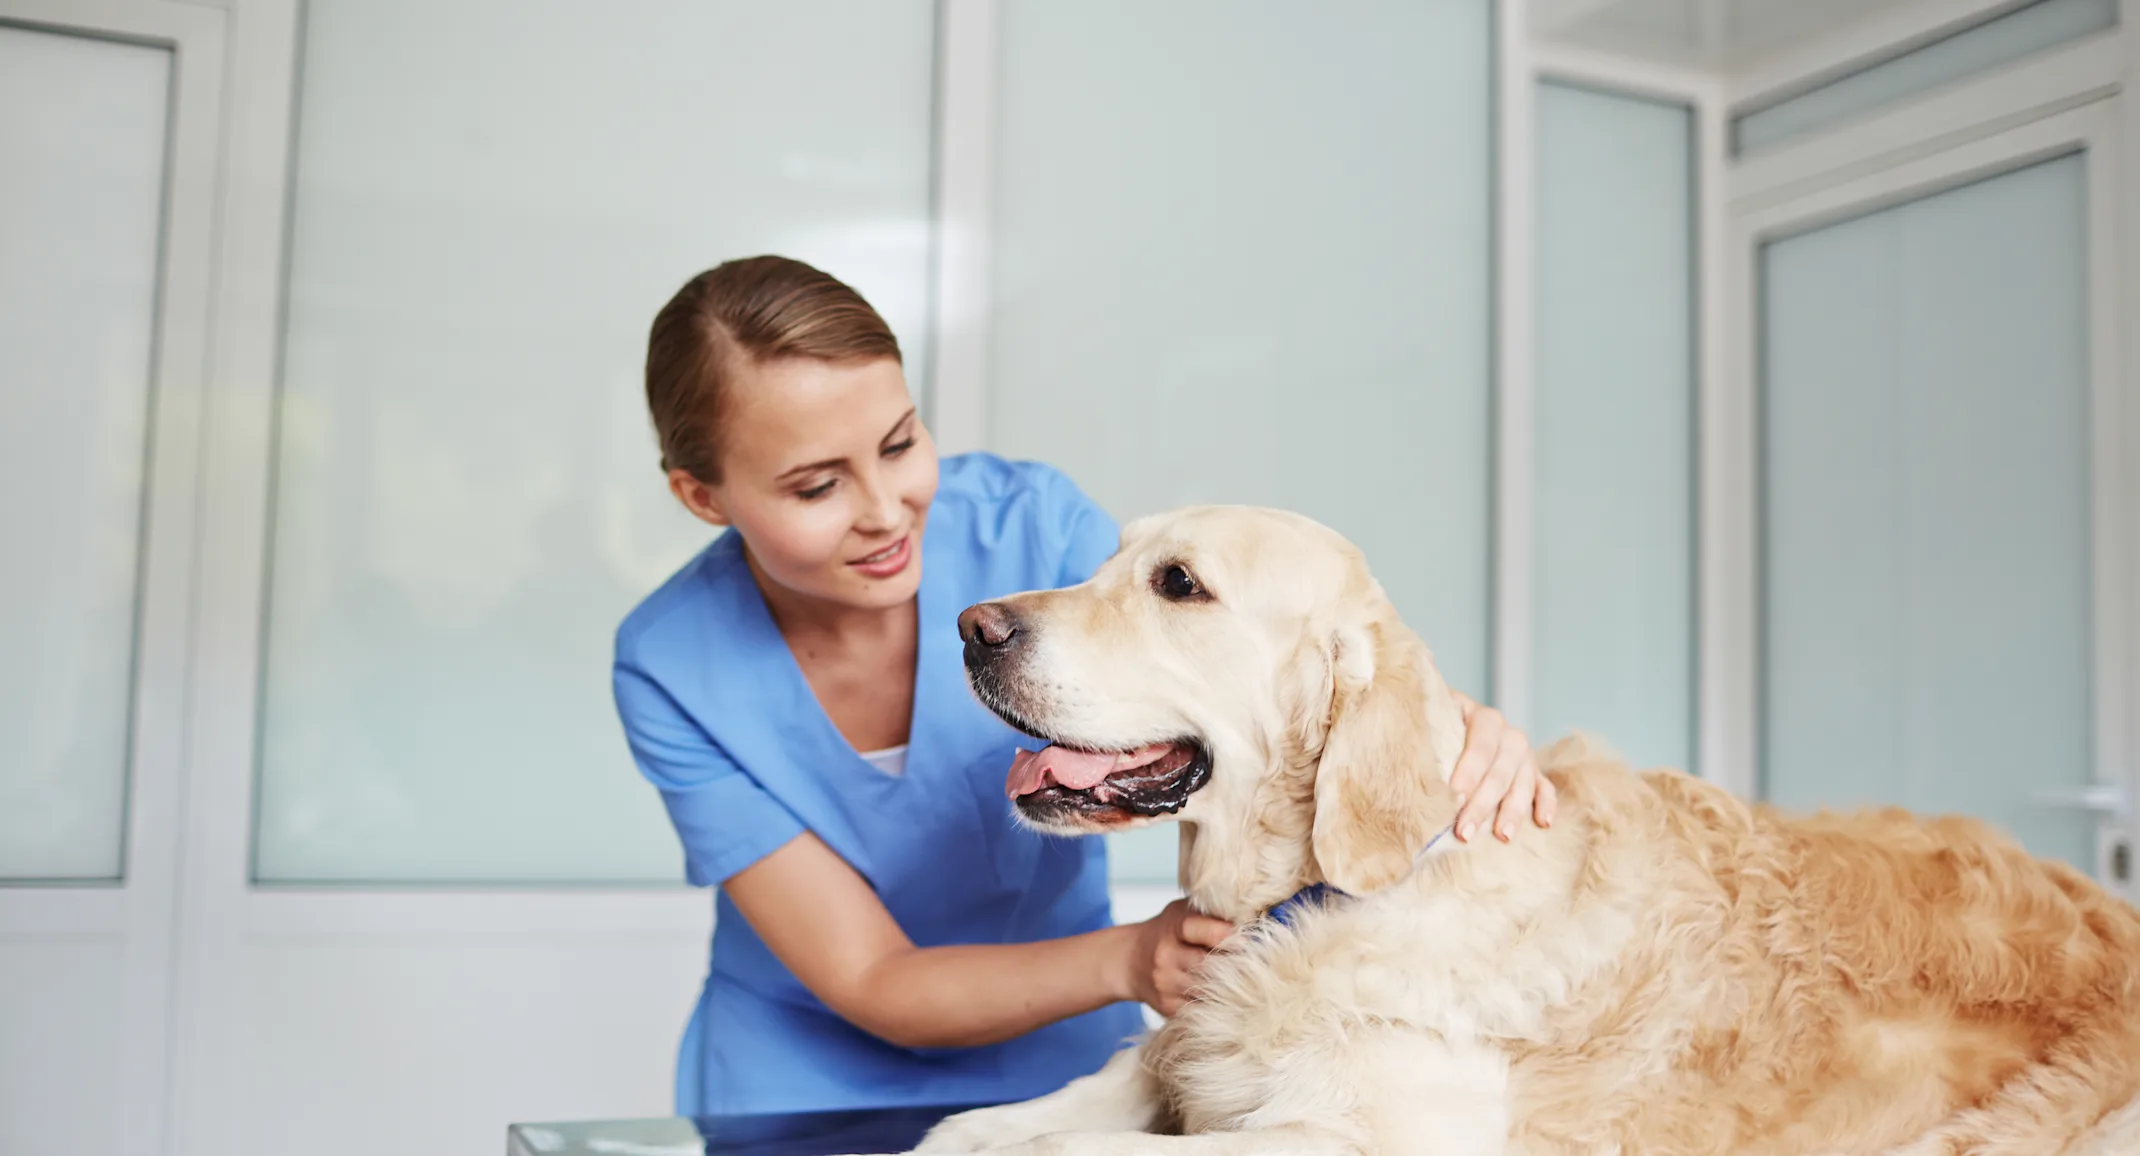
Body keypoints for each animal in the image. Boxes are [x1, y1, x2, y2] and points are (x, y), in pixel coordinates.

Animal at [903, 505, 2140, 1156]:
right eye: (1106, 560)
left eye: (1177, 584)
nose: (969, 626)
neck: (1314, 898)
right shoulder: (1164, 1055)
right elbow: (982, 1124)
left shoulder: (1343, 1136)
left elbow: (1079, 1146)